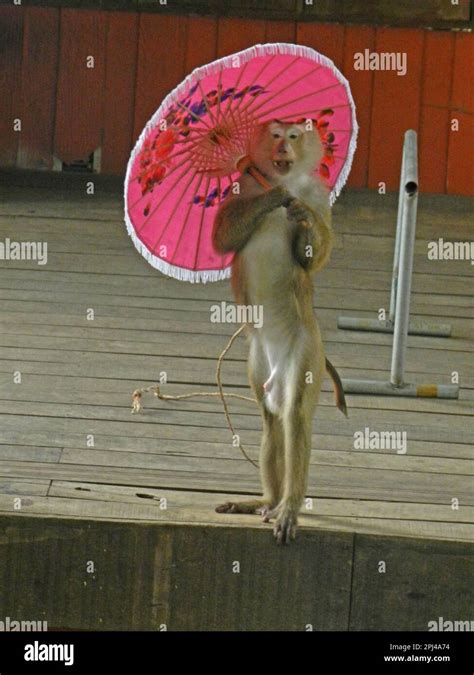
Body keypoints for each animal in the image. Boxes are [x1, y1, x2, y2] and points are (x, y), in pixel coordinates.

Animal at [212, 120, 344, 544]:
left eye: (294, 135)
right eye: (274, 134)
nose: (283, 145)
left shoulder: (317, 193)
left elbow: (313, 257)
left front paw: (301, 217)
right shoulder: (242, 183)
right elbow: (222, 237)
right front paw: (275, 196)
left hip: (305, 350)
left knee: (294, 415)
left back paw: (288, 505)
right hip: (258, 360)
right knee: (270, 418)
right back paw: (267, 501)